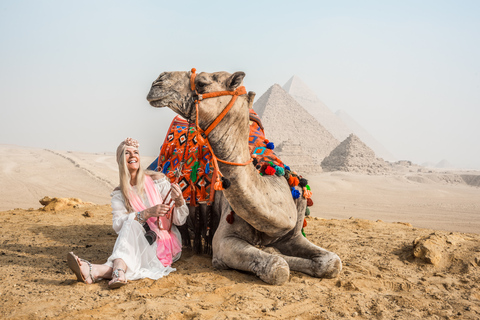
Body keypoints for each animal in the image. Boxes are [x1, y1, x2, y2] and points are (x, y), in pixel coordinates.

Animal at [146, 69, 342, 284]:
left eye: (202, 83)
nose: (158, 81)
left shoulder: (294, 235)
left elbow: (332, 261)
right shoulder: (223, 240)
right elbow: (278, 267)